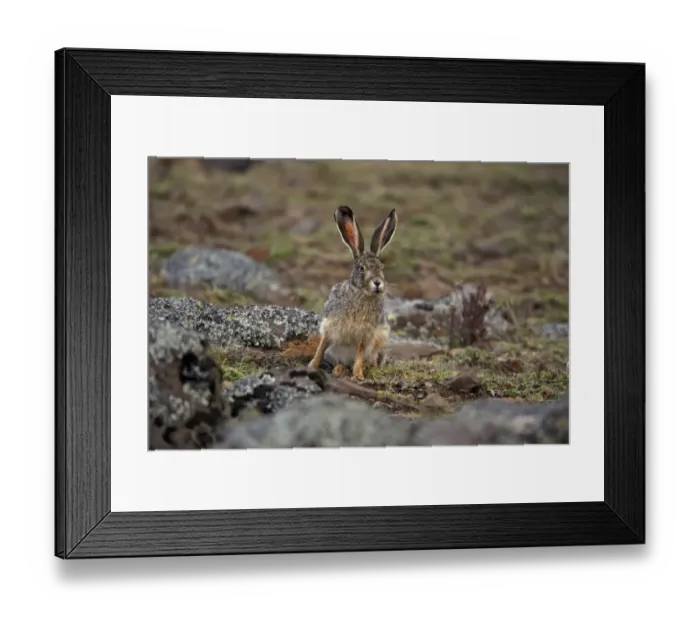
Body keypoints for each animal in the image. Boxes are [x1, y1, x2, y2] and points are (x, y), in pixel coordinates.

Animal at [308, 205, 398, 381]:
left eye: (381, 268)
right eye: (361, 268)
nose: (378, 283)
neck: (361, 293)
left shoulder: (365, 335)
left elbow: (359, 355)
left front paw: (358, 375)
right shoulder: (330, 326)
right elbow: (322, 346)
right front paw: (312, 366)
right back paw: (339, 370)